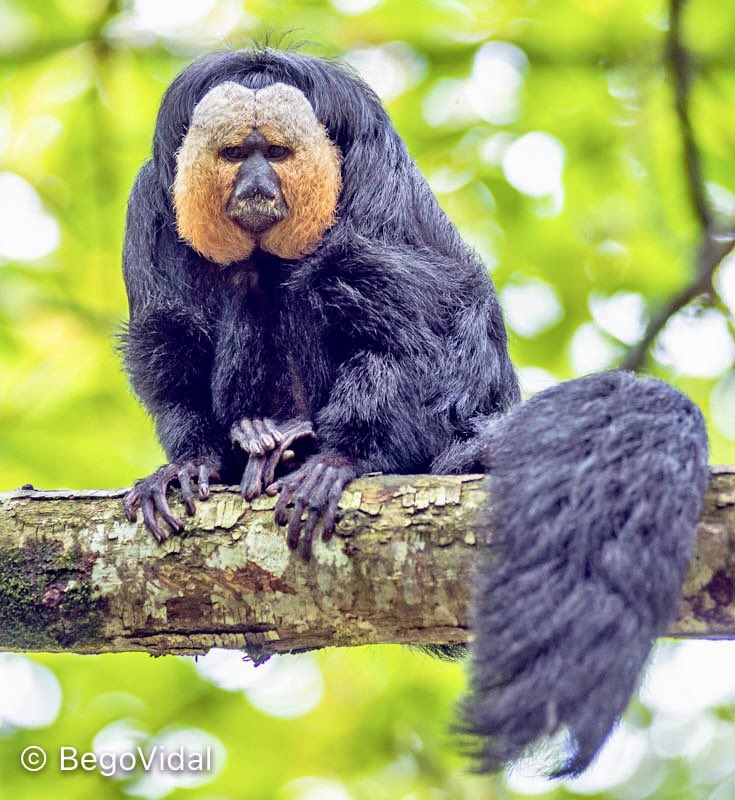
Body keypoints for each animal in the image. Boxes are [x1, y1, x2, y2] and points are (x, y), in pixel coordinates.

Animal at [120, 47, 709, 777]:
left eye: (276, 153)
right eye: (235, 154)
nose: (255, 183)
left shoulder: (377, 175)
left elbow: (434, 310)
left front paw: (345, 456)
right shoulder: (150, 204)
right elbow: (170, 335)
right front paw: (189, 463)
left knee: (329, 279)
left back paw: (302, 445)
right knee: (250, 283)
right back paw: (257, 441)